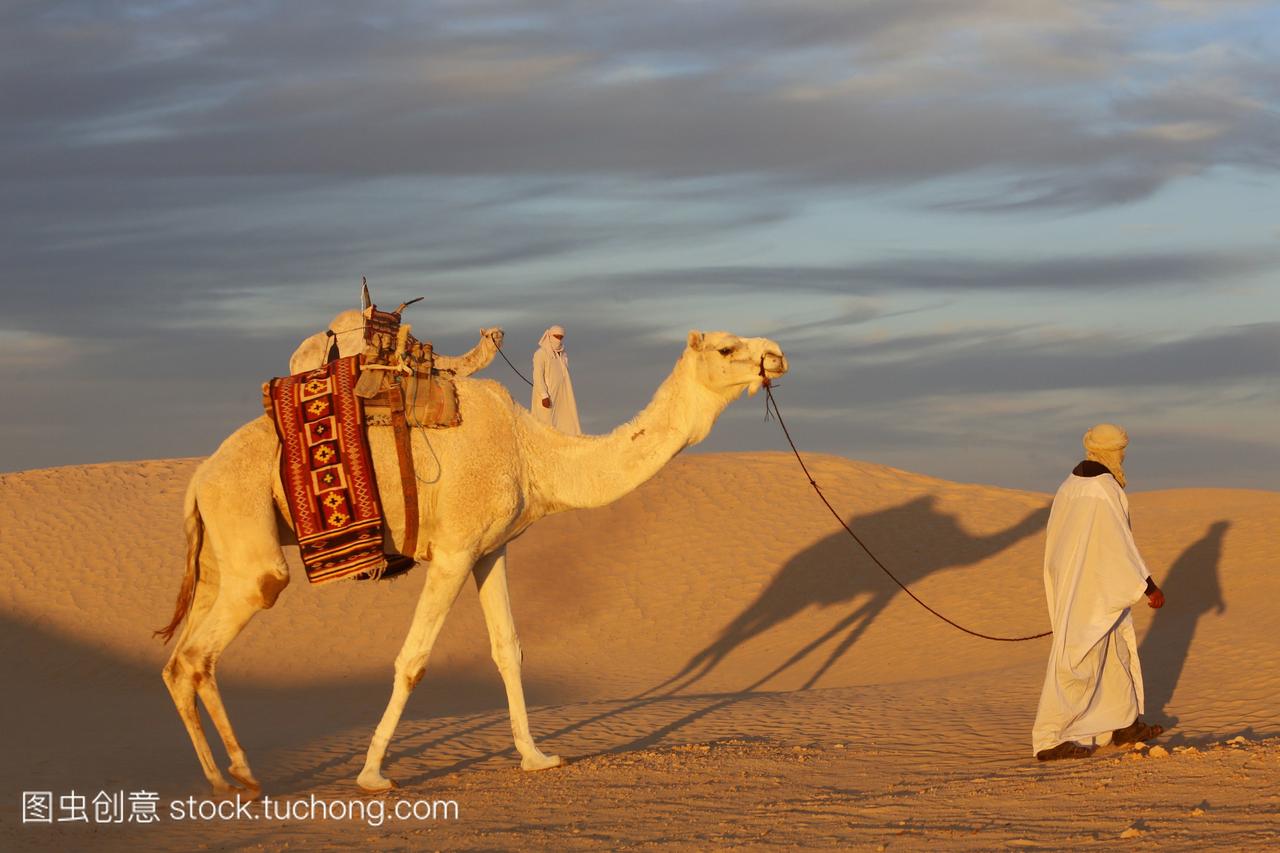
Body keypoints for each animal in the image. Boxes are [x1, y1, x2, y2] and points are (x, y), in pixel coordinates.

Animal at [154, 324, 783, 788]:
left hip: (219, 551)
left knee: (180, 660)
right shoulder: (454, 550)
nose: (776, 356)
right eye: (727, 347)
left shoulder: (489, 551)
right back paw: (240, 776)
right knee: (205, 646)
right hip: (246, 526)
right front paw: (372, 774)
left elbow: (509, 650)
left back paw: (224, 780)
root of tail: (198, 482)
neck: (533, 453)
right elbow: (413, 660)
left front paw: (536, 756)